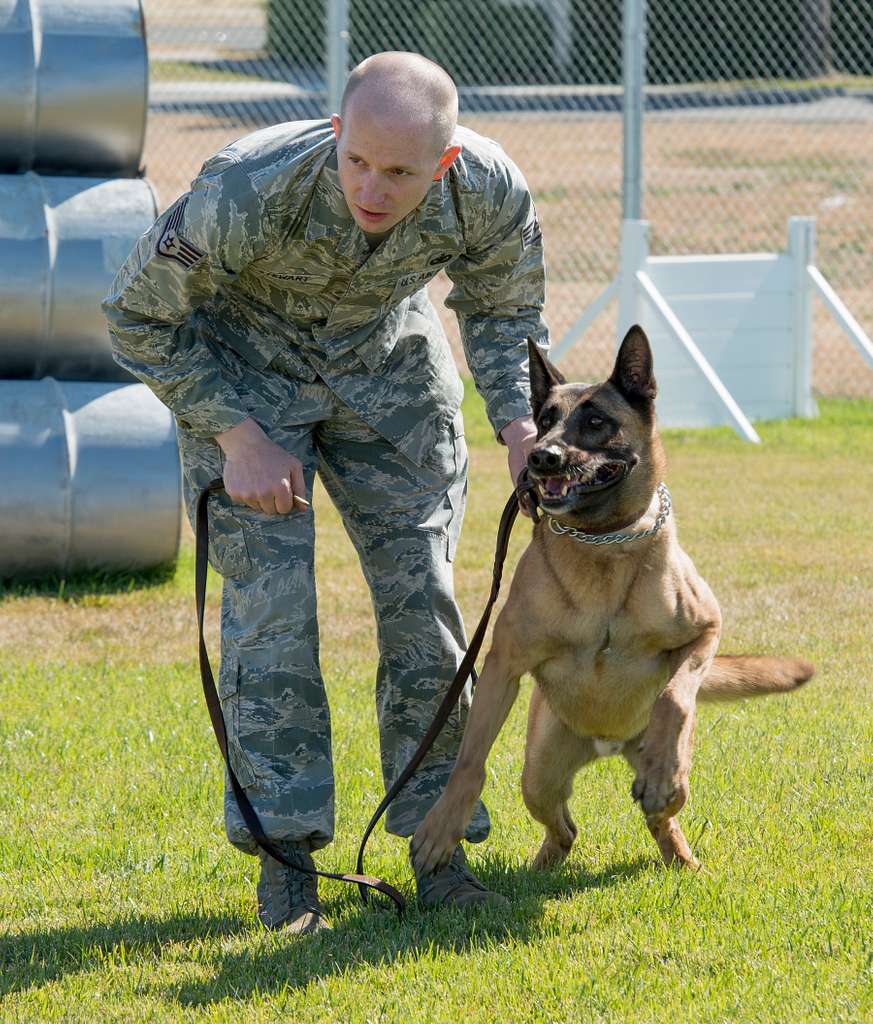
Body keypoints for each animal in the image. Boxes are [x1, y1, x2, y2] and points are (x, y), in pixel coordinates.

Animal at [411, 323, 814, 876]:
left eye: (596, 422)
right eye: (544, 420)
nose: (540, 457)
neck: (604, 544)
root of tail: (608, 745)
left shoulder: (706, 629)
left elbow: (673, 696)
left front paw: (664, 770)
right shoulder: (502, 665)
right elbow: (470, 760)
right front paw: (441, 827)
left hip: (657, 768)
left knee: (665, 810)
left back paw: (678, 846)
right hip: (539, 772)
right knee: (563, 825)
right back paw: (545, 866)